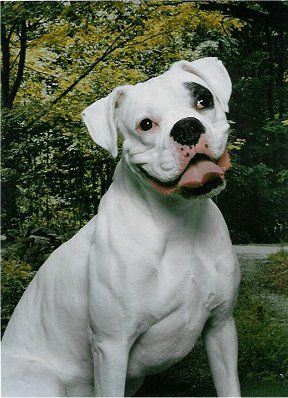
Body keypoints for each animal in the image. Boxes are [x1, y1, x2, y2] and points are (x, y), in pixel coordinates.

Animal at [2, 57, 241, 396]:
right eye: (145, 125)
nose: (186, 127)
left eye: (203, 99)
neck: (177, 224)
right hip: (44, 381)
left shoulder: (221, 327)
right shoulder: (112, 348)